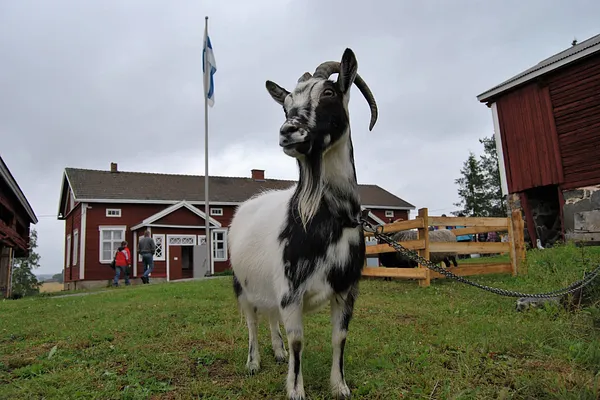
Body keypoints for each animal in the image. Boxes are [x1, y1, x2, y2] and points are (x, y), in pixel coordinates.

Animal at [227, 47, 378, 400]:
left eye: (329, 92)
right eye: (285, 105)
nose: (288, 131)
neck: (329, 219)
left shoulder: (347, 289)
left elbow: (339, 338)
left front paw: (340, 386)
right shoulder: (291, 291)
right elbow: (298, 341)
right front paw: (296, 391)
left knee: (269, 315)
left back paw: (278, 352)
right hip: (241, 283)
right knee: (252, 321)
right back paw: (254, 363)